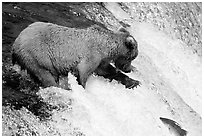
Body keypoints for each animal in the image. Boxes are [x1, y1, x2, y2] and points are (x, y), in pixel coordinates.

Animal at [11, 21, 139, 88]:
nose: (128, 69)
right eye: (132, 57)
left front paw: (134, 81)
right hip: (37, 56)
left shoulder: (100, 60)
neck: (106, 47)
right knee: (45, 74)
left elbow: (106, 70)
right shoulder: (92, 54)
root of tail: (16, 41)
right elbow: (83, 72)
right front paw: (82, 86)